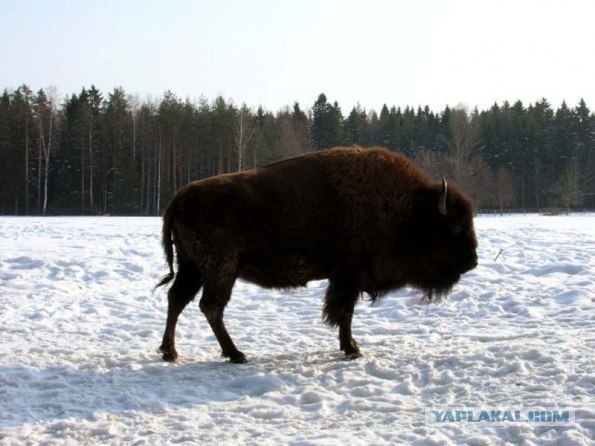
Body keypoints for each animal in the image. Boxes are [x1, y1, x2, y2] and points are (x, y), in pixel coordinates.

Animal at [155, 146, 480, 362]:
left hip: (193, 267)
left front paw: (351, 346)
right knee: (210, 306)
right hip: (220, 268)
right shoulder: (349, 276)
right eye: (454, 227)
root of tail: (180, 197)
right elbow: (344, 313)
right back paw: (235, 354)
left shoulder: (345, 278)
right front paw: (352, 349)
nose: (473, 260)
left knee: (178, 299)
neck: (409, 210)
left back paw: (170, 352)